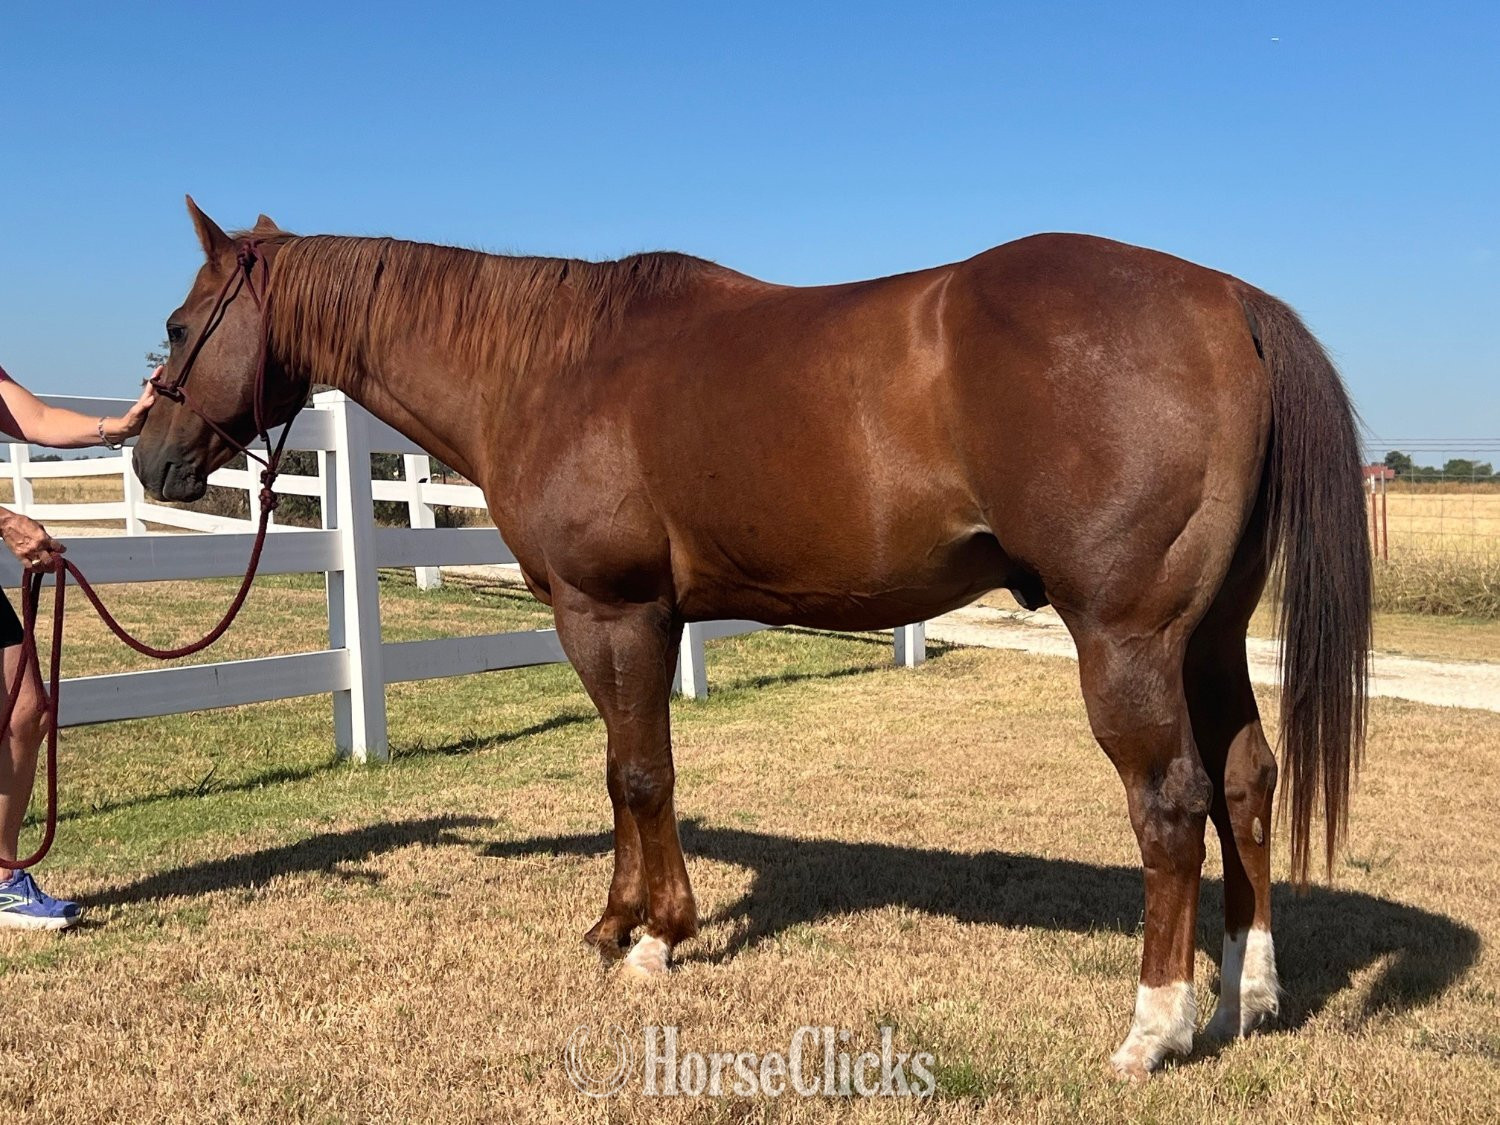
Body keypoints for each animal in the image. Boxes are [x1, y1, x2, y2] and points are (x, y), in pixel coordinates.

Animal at [132, 197, 1370, 1080]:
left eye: (181, 327)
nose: (149, 458)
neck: (548, 365)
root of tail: (1229, 302)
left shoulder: (613, 610)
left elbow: (640, 772)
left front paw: (655, 940)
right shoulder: (625, 620)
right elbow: (626, 773)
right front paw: (618, 921)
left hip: (1128, 637)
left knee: (1172, 803)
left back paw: (1156, 1026)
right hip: (1209, 635)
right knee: (1247, 780)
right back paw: (1249, 993)